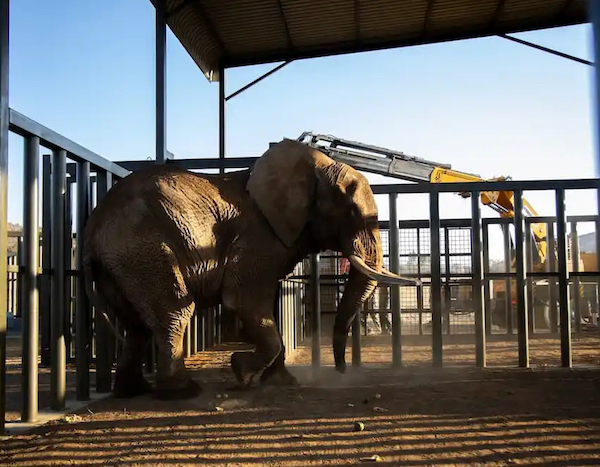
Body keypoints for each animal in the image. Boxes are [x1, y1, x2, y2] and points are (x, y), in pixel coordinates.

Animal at [82, 139, 414, 402]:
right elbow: (244, 301)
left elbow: (267, 309)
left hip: (122, 261)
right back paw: (182, 392)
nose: (341, 371)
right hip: (144, 248)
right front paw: (241, 374)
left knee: (135, 323)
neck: (315, 165)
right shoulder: (258, 238)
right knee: (174, 312)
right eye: (351, 212)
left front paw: (282, 383)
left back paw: (131, 391)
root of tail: (93, 227)